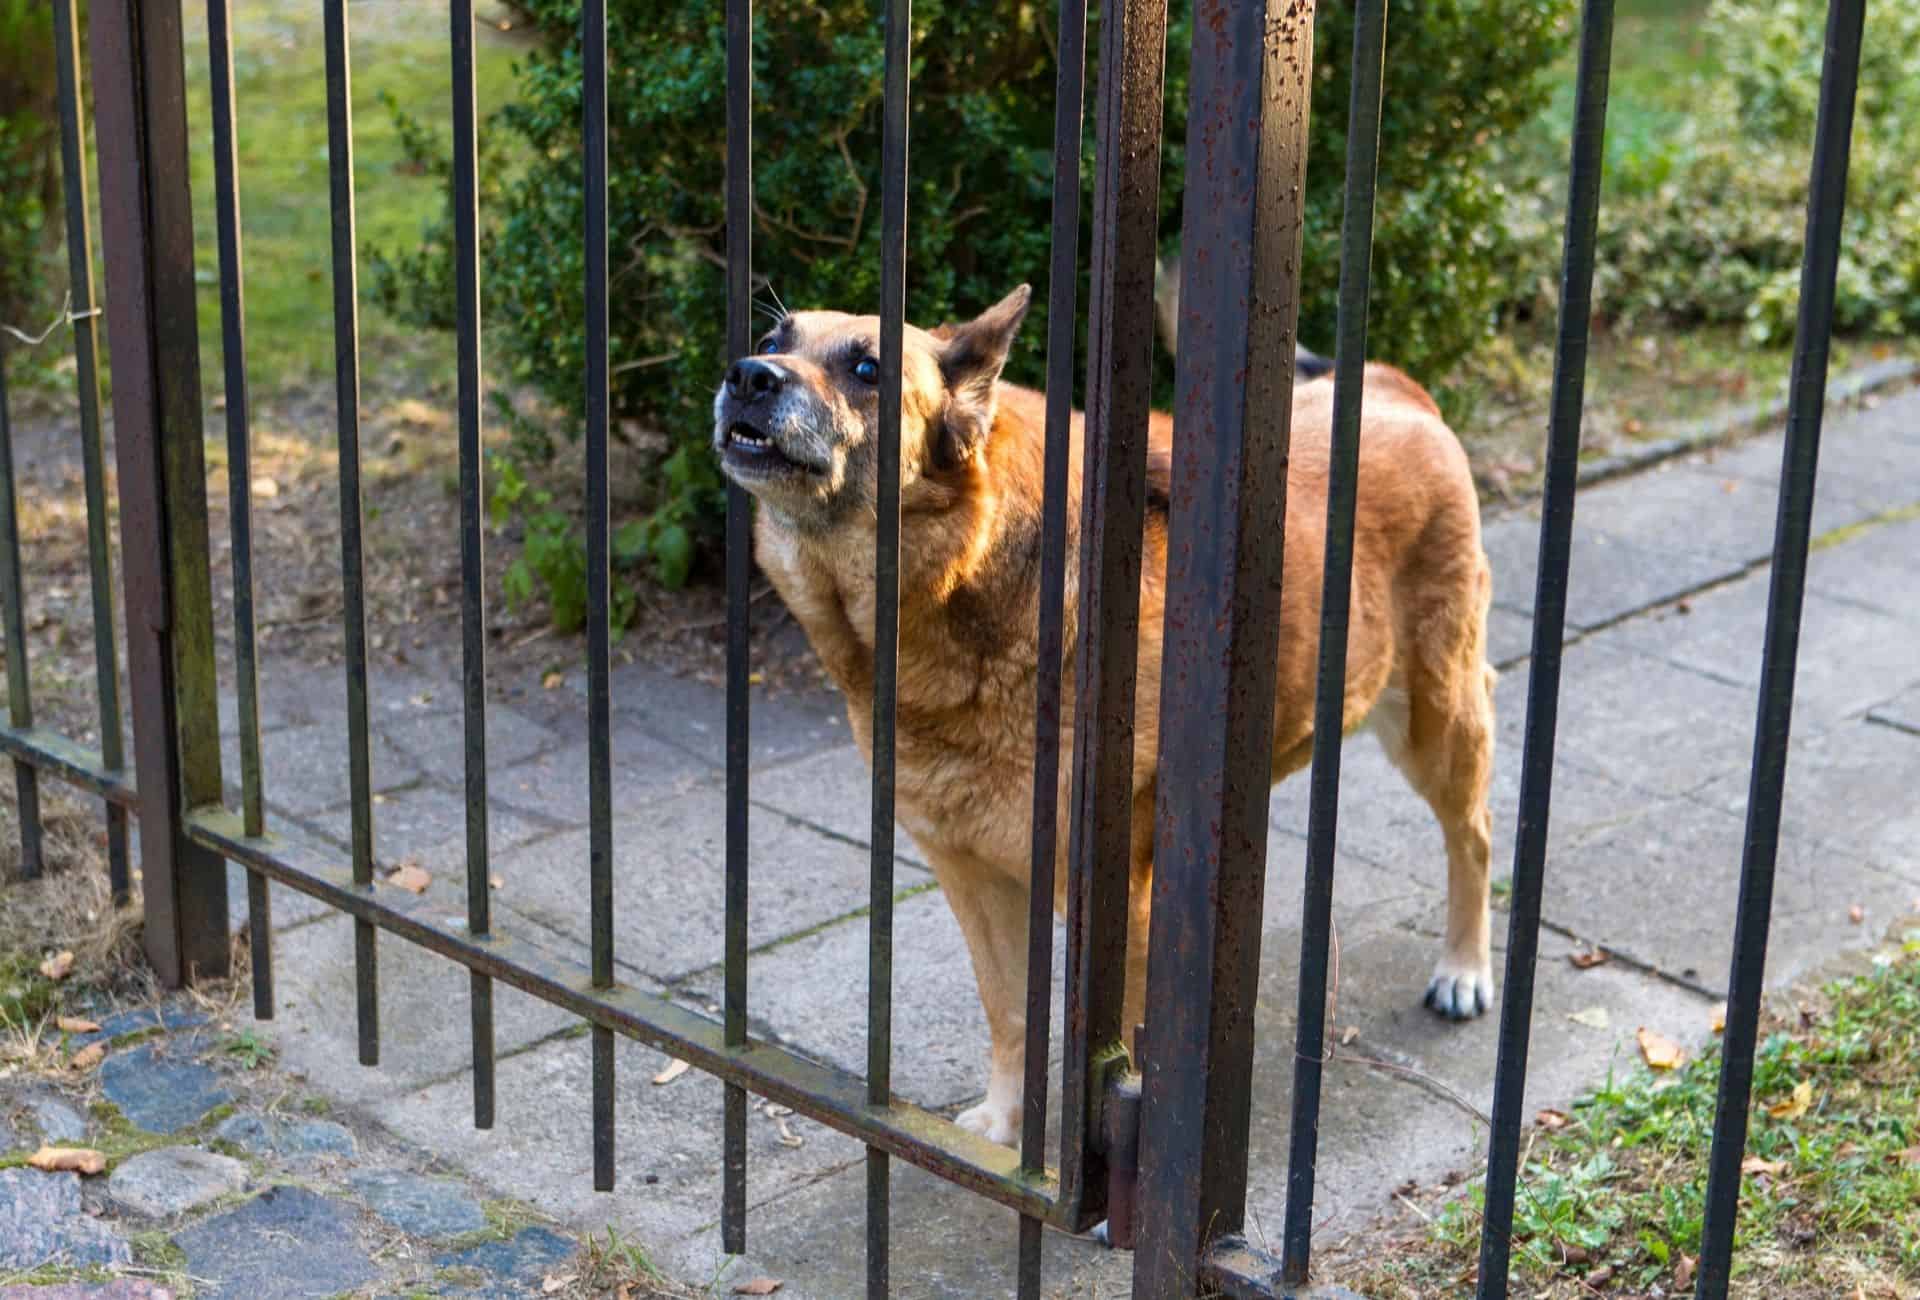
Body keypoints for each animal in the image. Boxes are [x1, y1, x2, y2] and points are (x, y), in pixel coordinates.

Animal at [710, 286, 1497, 1144]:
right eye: (773, 340)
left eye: (865, 369)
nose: (748, 376)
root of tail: (1391, 384)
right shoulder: (973, 879)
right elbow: (1010, 1017)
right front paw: (1004, 1130)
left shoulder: (1122, 903)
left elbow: (1131, 1050)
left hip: (1437, 722)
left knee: (1475, 837)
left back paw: (1464, 970)